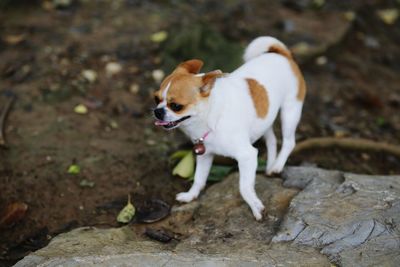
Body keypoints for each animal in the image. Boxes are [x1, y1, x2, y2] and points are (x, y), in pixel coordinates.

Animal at [153, 36, 306, 221]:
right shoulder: (205, 155)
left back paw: (277, 166)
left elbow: (244, 187)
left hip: (290, 112)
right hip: (265, 119)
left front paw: (256, 207)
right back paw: (270, 166)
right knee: (271, 140)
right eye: (156, 99)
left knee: (289, 142)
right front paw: (191, 195)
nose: (157, 111)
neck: (213, 116)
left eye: (176, 106)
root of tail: (281, 54)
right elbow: (199, 178)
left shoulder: (247, 156)